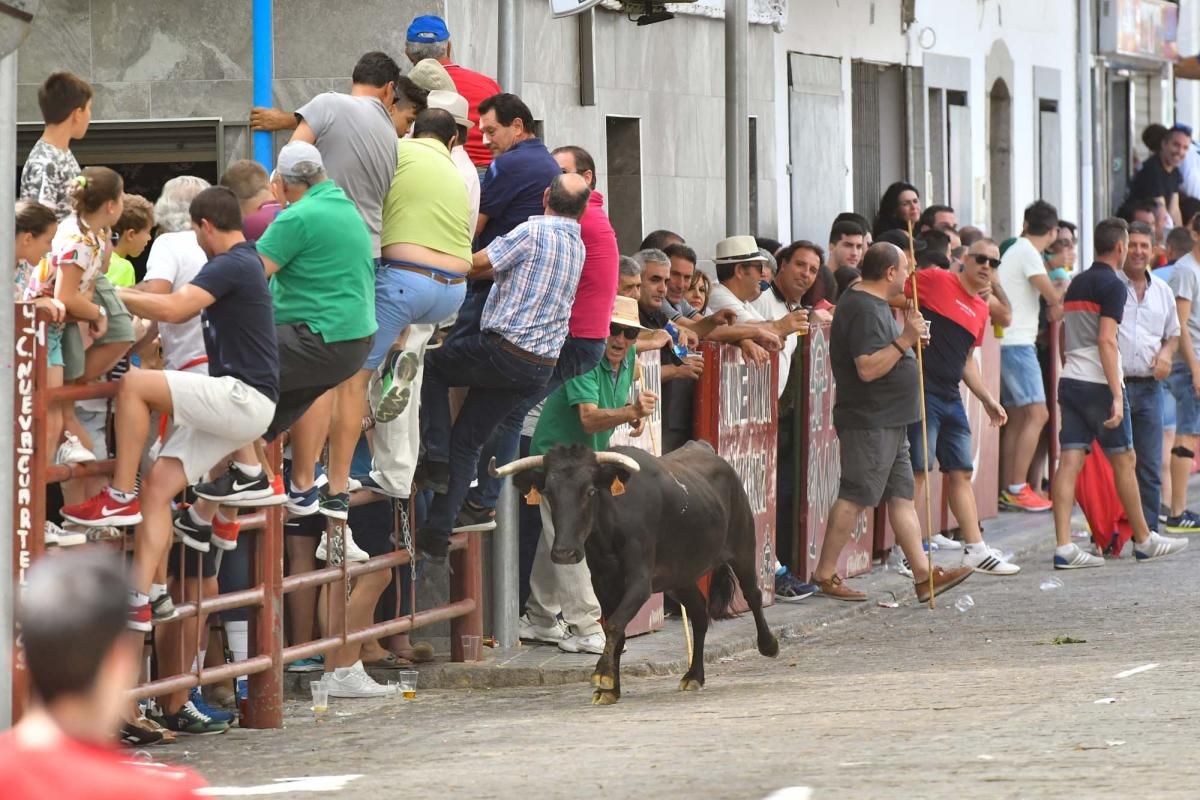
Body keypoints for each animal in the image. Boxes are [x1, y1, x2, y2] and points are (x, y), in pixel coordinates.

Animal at [489, 441, 777, 705]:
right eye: (548, 492)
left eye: (590, 491)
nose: (564, 553)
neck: (610, 527)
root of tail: (705, 447)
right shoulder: (603, 585)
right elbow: (617, 631)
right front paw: (610, 689)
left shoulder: (639, 583)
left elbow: (615, 624)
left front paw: (602, 676)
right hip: (679, 578)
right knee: (699, 613)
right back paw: (694, 675)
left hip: (743, 548)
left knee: (752, 593)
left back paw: (768, 645)